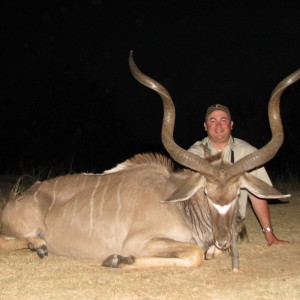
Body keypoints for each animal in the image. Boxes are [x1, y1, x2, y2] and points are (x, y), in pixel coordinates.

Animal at [0, 52, 300, 272]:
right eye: (206, 193)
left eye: (238, 193)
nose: (224, 240)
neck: (181, 206)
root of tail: (18, 198)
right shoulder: (140, 241)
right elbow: (195, 254)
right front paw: (118, 259)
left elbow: (205, 253)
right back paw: (38, 244)